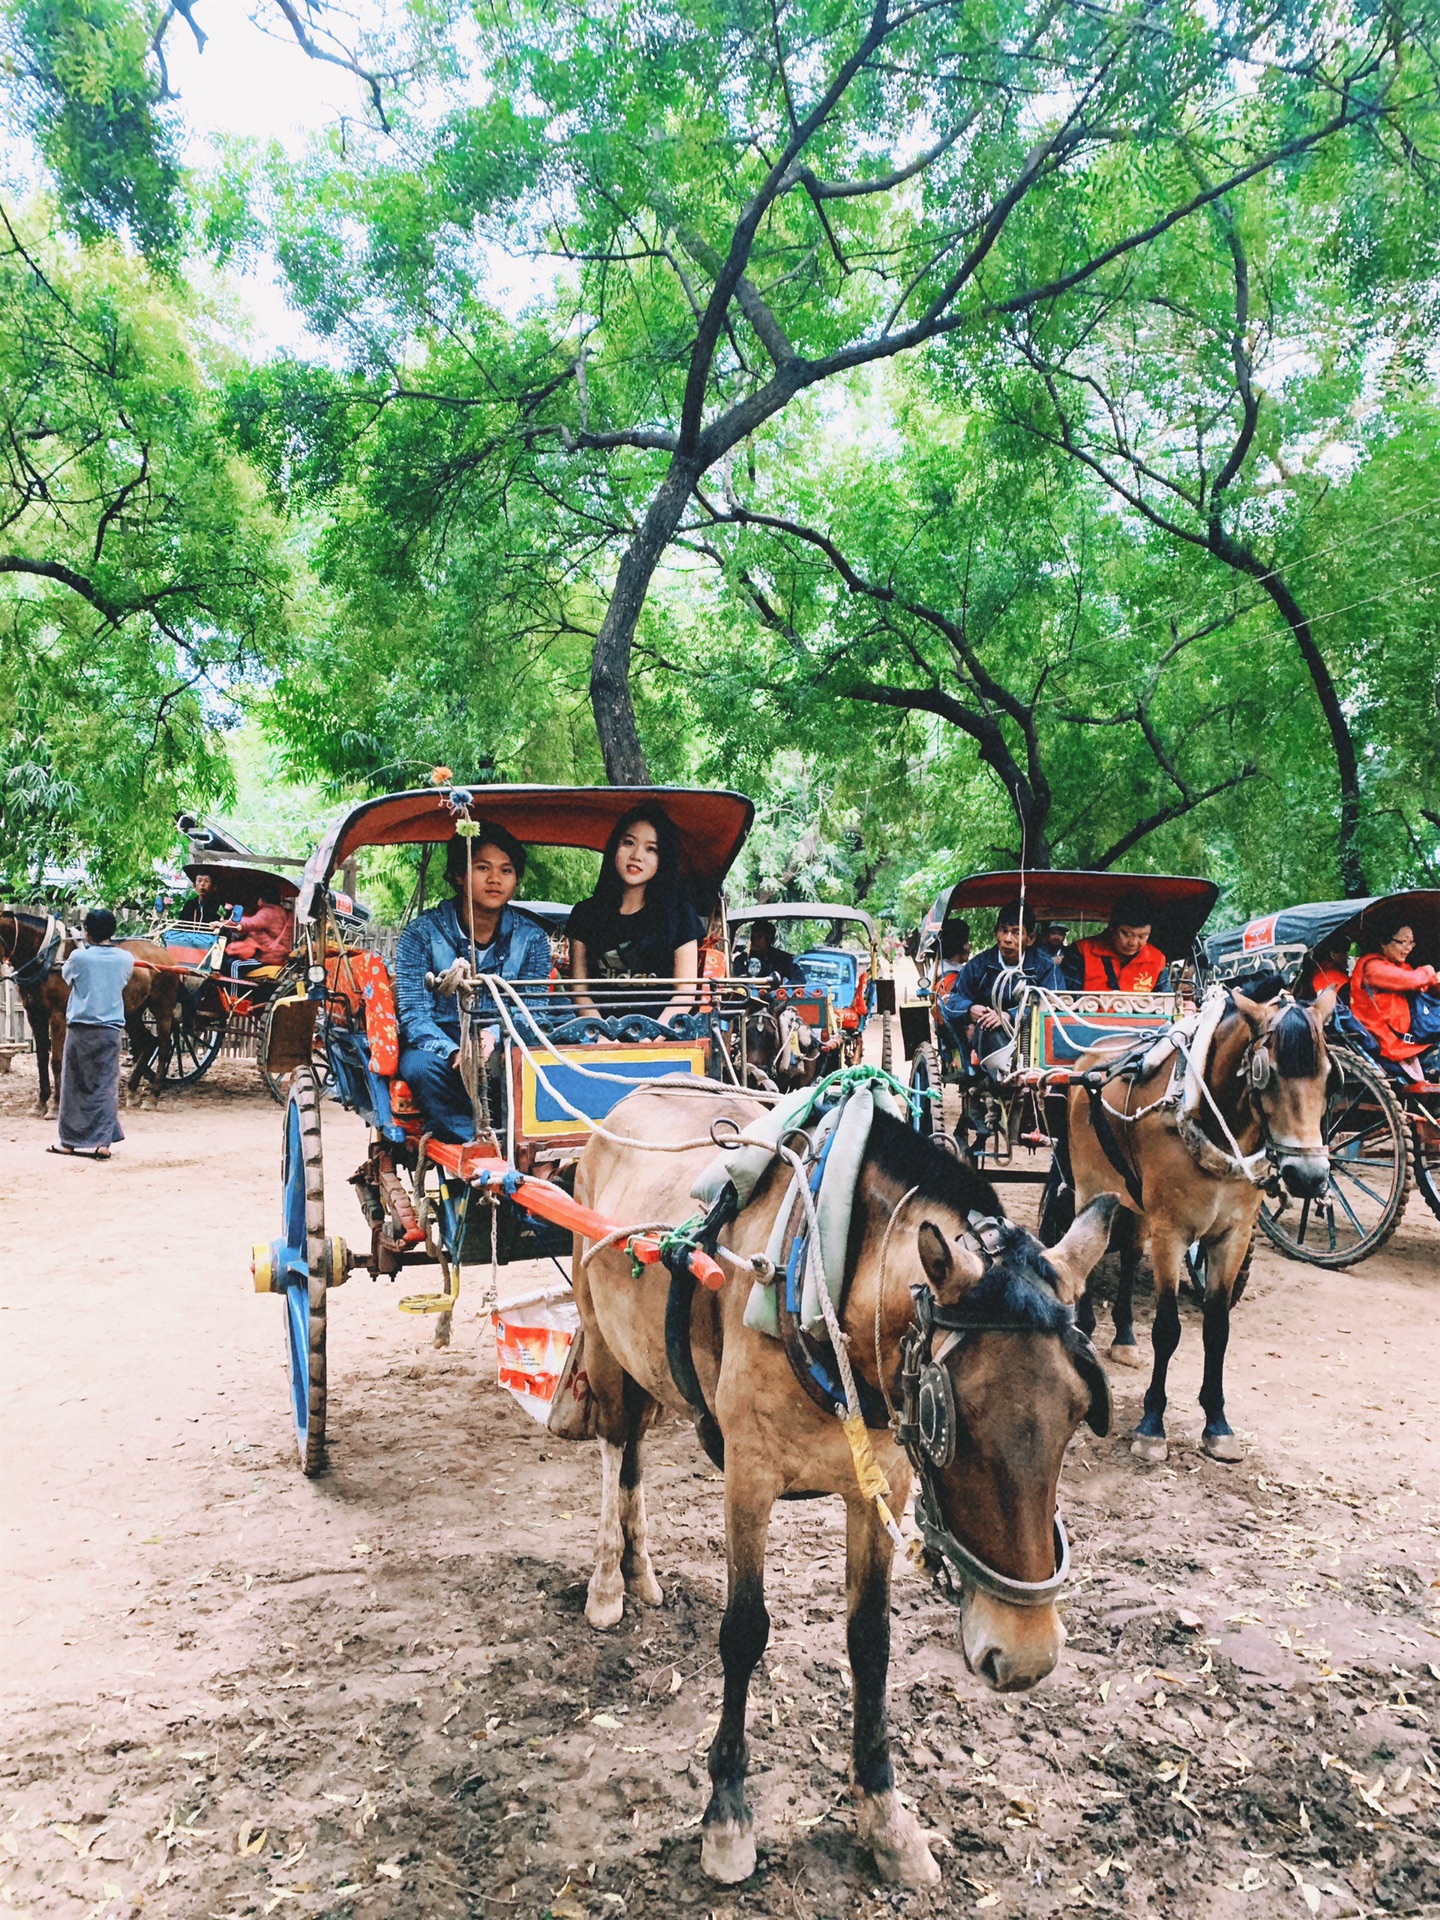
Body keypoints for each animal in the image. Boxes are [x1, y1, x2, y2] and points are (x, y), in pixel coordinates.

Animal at [0, 910, 186, 1121]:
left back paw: (153, 1096)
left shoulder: (58, 1015)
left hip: (162, 1008)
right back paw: (132, 1090)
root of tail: (168, 958)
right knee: (149, 1042)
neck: (47, 955)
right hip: (133, 1012)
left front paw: (55, 1107)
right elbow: (41, 1059)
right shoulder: (34, 1014)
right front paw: (40, 1103)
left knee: (164, 1047)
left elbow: (57, 1061)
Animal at [568, 1098, 1121, 1889]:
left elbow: (871, 1642)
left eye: (1079, 1411)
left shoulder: (877, 1485)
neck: (818, 1286)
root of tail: (622, 1107)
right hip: (603, 1339)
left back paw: (641, 1572)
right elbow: (744, 1632)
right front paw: (727, 1811)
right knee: (616, 1447)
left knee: (636, 1448)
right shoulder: (748, 1477)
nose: (1026, 1658)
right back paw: (610, 1582)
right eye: (950, 1419)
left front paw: (885, 1815)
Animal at [1067, 983, 1336, 1459]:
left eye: (1327, 1074)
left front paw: (1218, 1423)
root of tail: (1091, 1062)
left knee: (1131, 1251)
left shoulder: (1232, 1235)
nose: (1309, 1177)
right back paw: (1086, 1325)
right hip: (1089, 1185)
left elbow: (1217, 1327)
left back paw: (1124, 1338)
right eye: (1266, 1074)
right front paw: (1152, 1424)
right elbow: (1168, 1328)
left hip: (1135, 1201)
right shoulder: (1172, 1232)